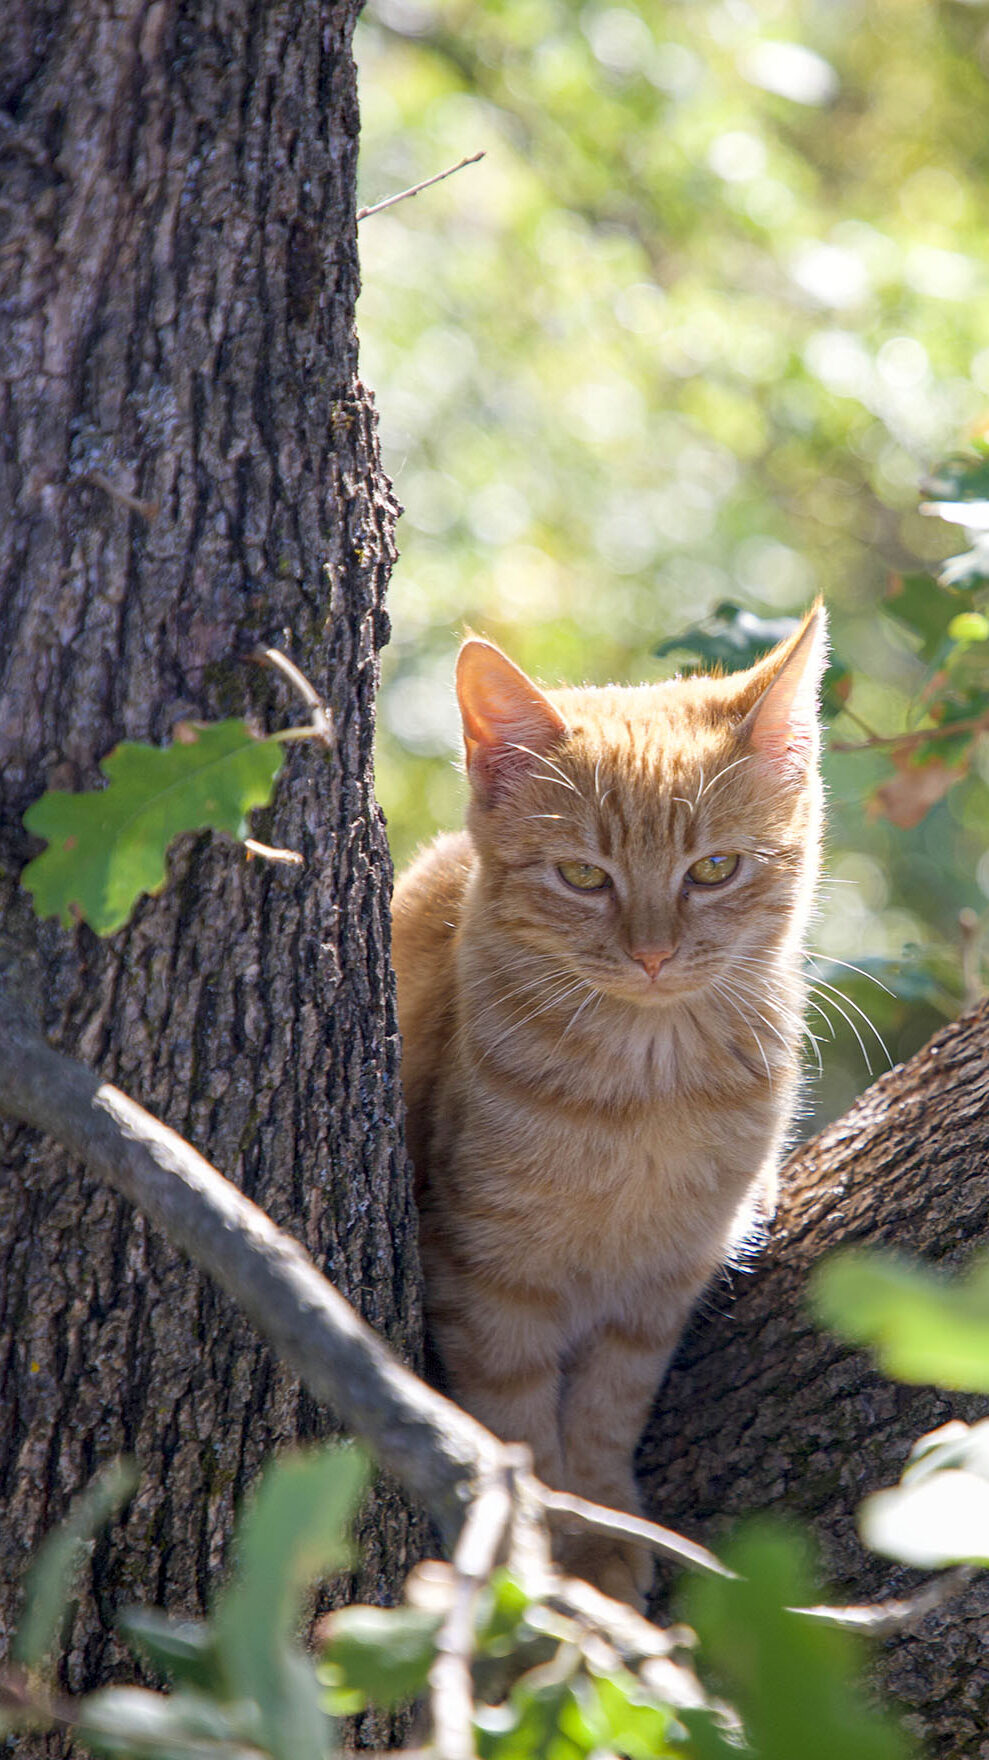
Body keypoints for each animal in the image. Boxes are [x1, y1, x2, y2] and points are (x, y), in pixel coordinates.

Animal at [390, 608, 823, 1612]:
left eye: (713, 868)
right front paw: (550, 1545)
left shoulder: (656, 1290)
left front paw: (599, 1524)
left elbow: (606, 1407)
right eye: (584, 878)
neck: (641, 1098)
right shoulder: (484, 1278)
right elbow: (514, 1416)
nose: (653, 953)